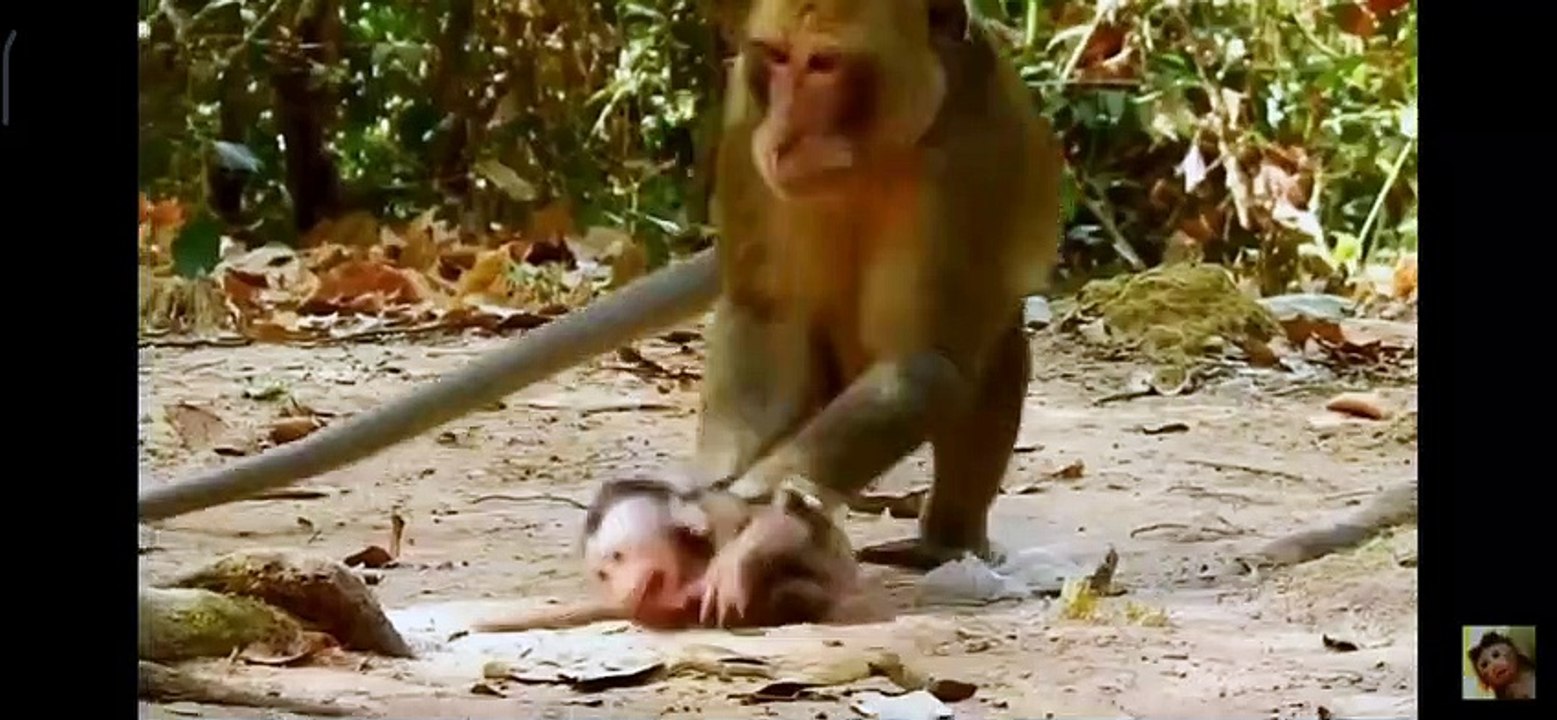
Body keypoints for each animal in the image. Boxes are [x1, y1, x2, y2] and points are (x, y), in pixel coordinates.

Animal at [467, 476, 860, 632]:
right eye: (602, 575)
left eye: (618, 557)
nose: (625, 593)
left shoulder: (726, 516)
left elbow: (781, 525)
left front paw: (732, 570)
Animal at [685, 0, 1063, 625]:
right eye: (780, 58)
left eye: (825, 63)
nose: (783, 136)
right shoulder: (745, 114)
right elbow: (766, 314)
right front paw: (712, 492)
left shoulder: (971, 157)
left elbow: (924, 364)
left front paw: (759, 507)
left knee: (998, 355)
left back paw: (943, 542)